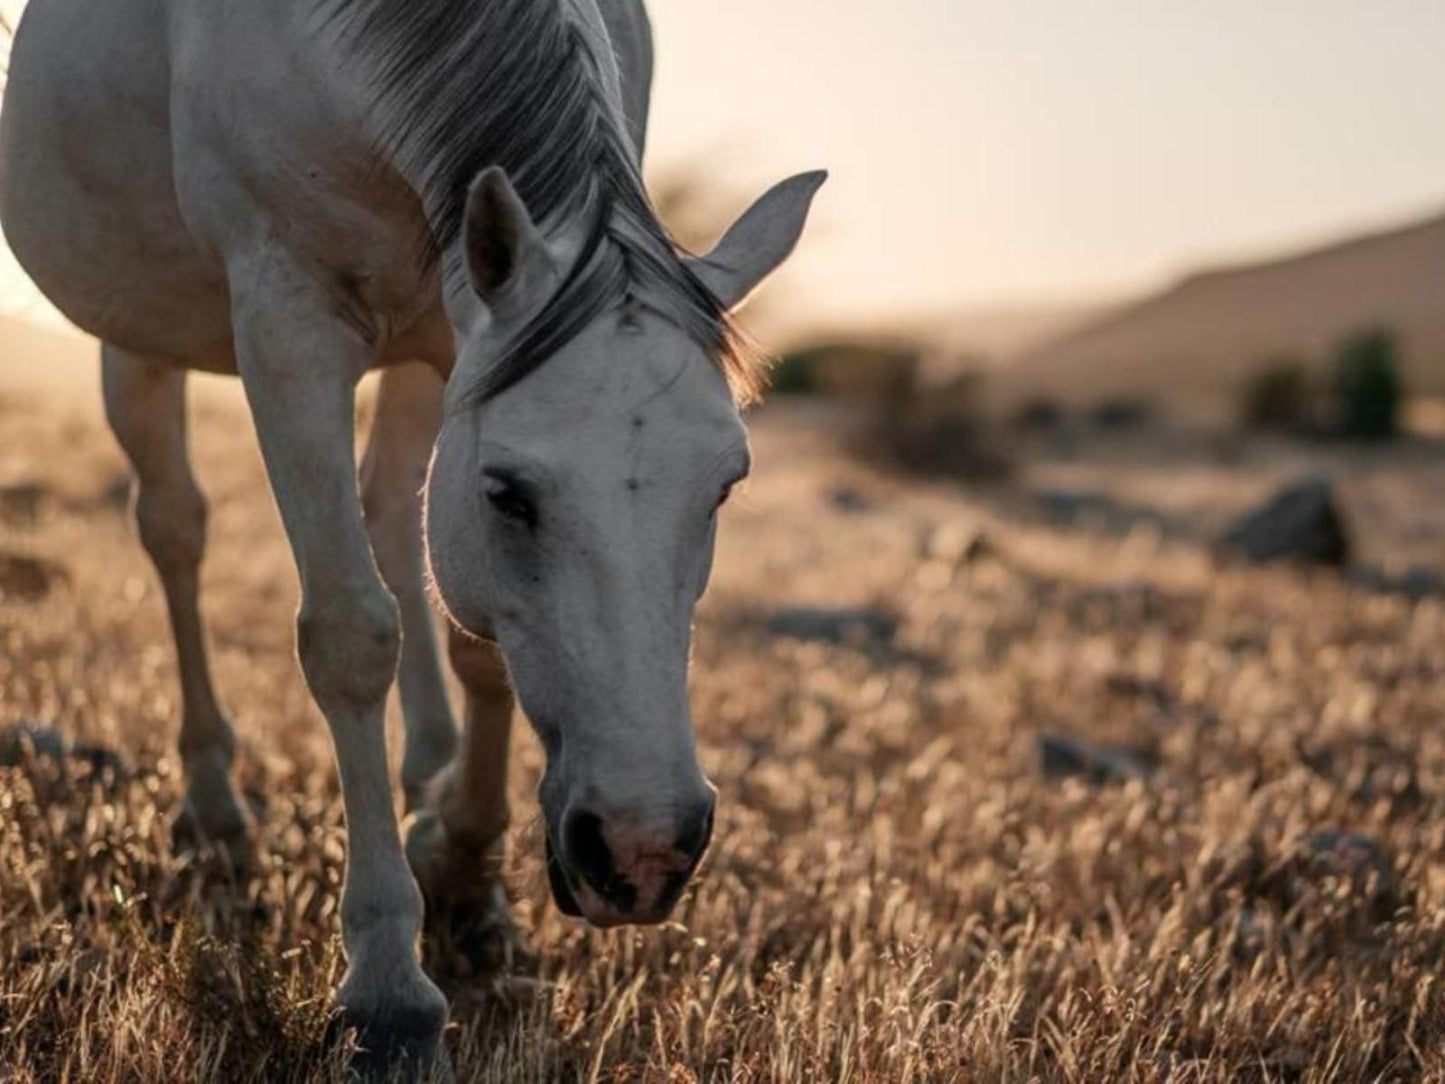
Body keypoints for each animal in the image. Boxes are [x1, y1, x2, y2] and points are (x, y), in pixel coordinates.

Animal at [0, 0, 826, 1075]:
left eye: (725, 487)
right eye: (508, 492)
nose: (644, 848)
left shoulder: (453, 328)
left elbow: (478, 640)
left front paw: (465, 875)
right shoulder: (287, 326)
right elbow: (351, 635)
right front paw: (389, 989)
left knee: (391, 512)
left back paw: (426, 771)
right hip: (140, 332)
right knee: (175, 529)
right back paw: (216, 808)